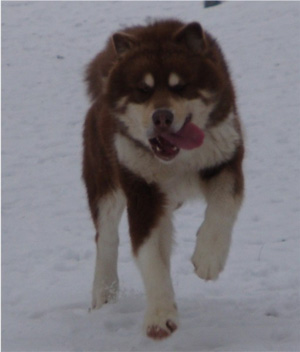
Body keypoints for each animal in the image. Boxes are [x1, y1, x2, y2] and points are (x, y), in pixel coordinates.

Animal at [82, 18, 244, 338]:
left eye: (180, 87)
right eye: (143, 90)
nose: (162, 116)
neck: (177, 160)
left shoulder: (226, 159)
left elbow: (222, 208)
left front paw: (208, 257)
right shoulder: (143, 191)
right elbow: (150, 256)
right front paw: (160, 315)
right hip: (105, 183)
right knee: (106, 237)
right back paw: (104, 292)